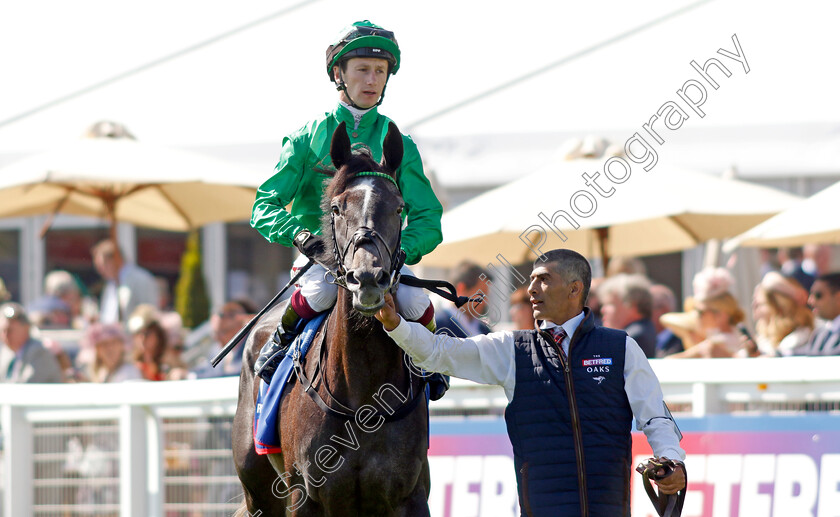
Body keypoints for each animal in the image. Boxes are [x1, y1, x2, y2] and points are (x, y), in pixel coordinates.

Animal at [235, 122, 434, 516]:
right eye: (338, 208)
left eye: (399, 207)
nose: (367, 278)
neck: (362, 392)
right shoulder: (303, 496)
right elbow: (266, 200)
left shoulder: (411, 496)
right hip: (258, 489)